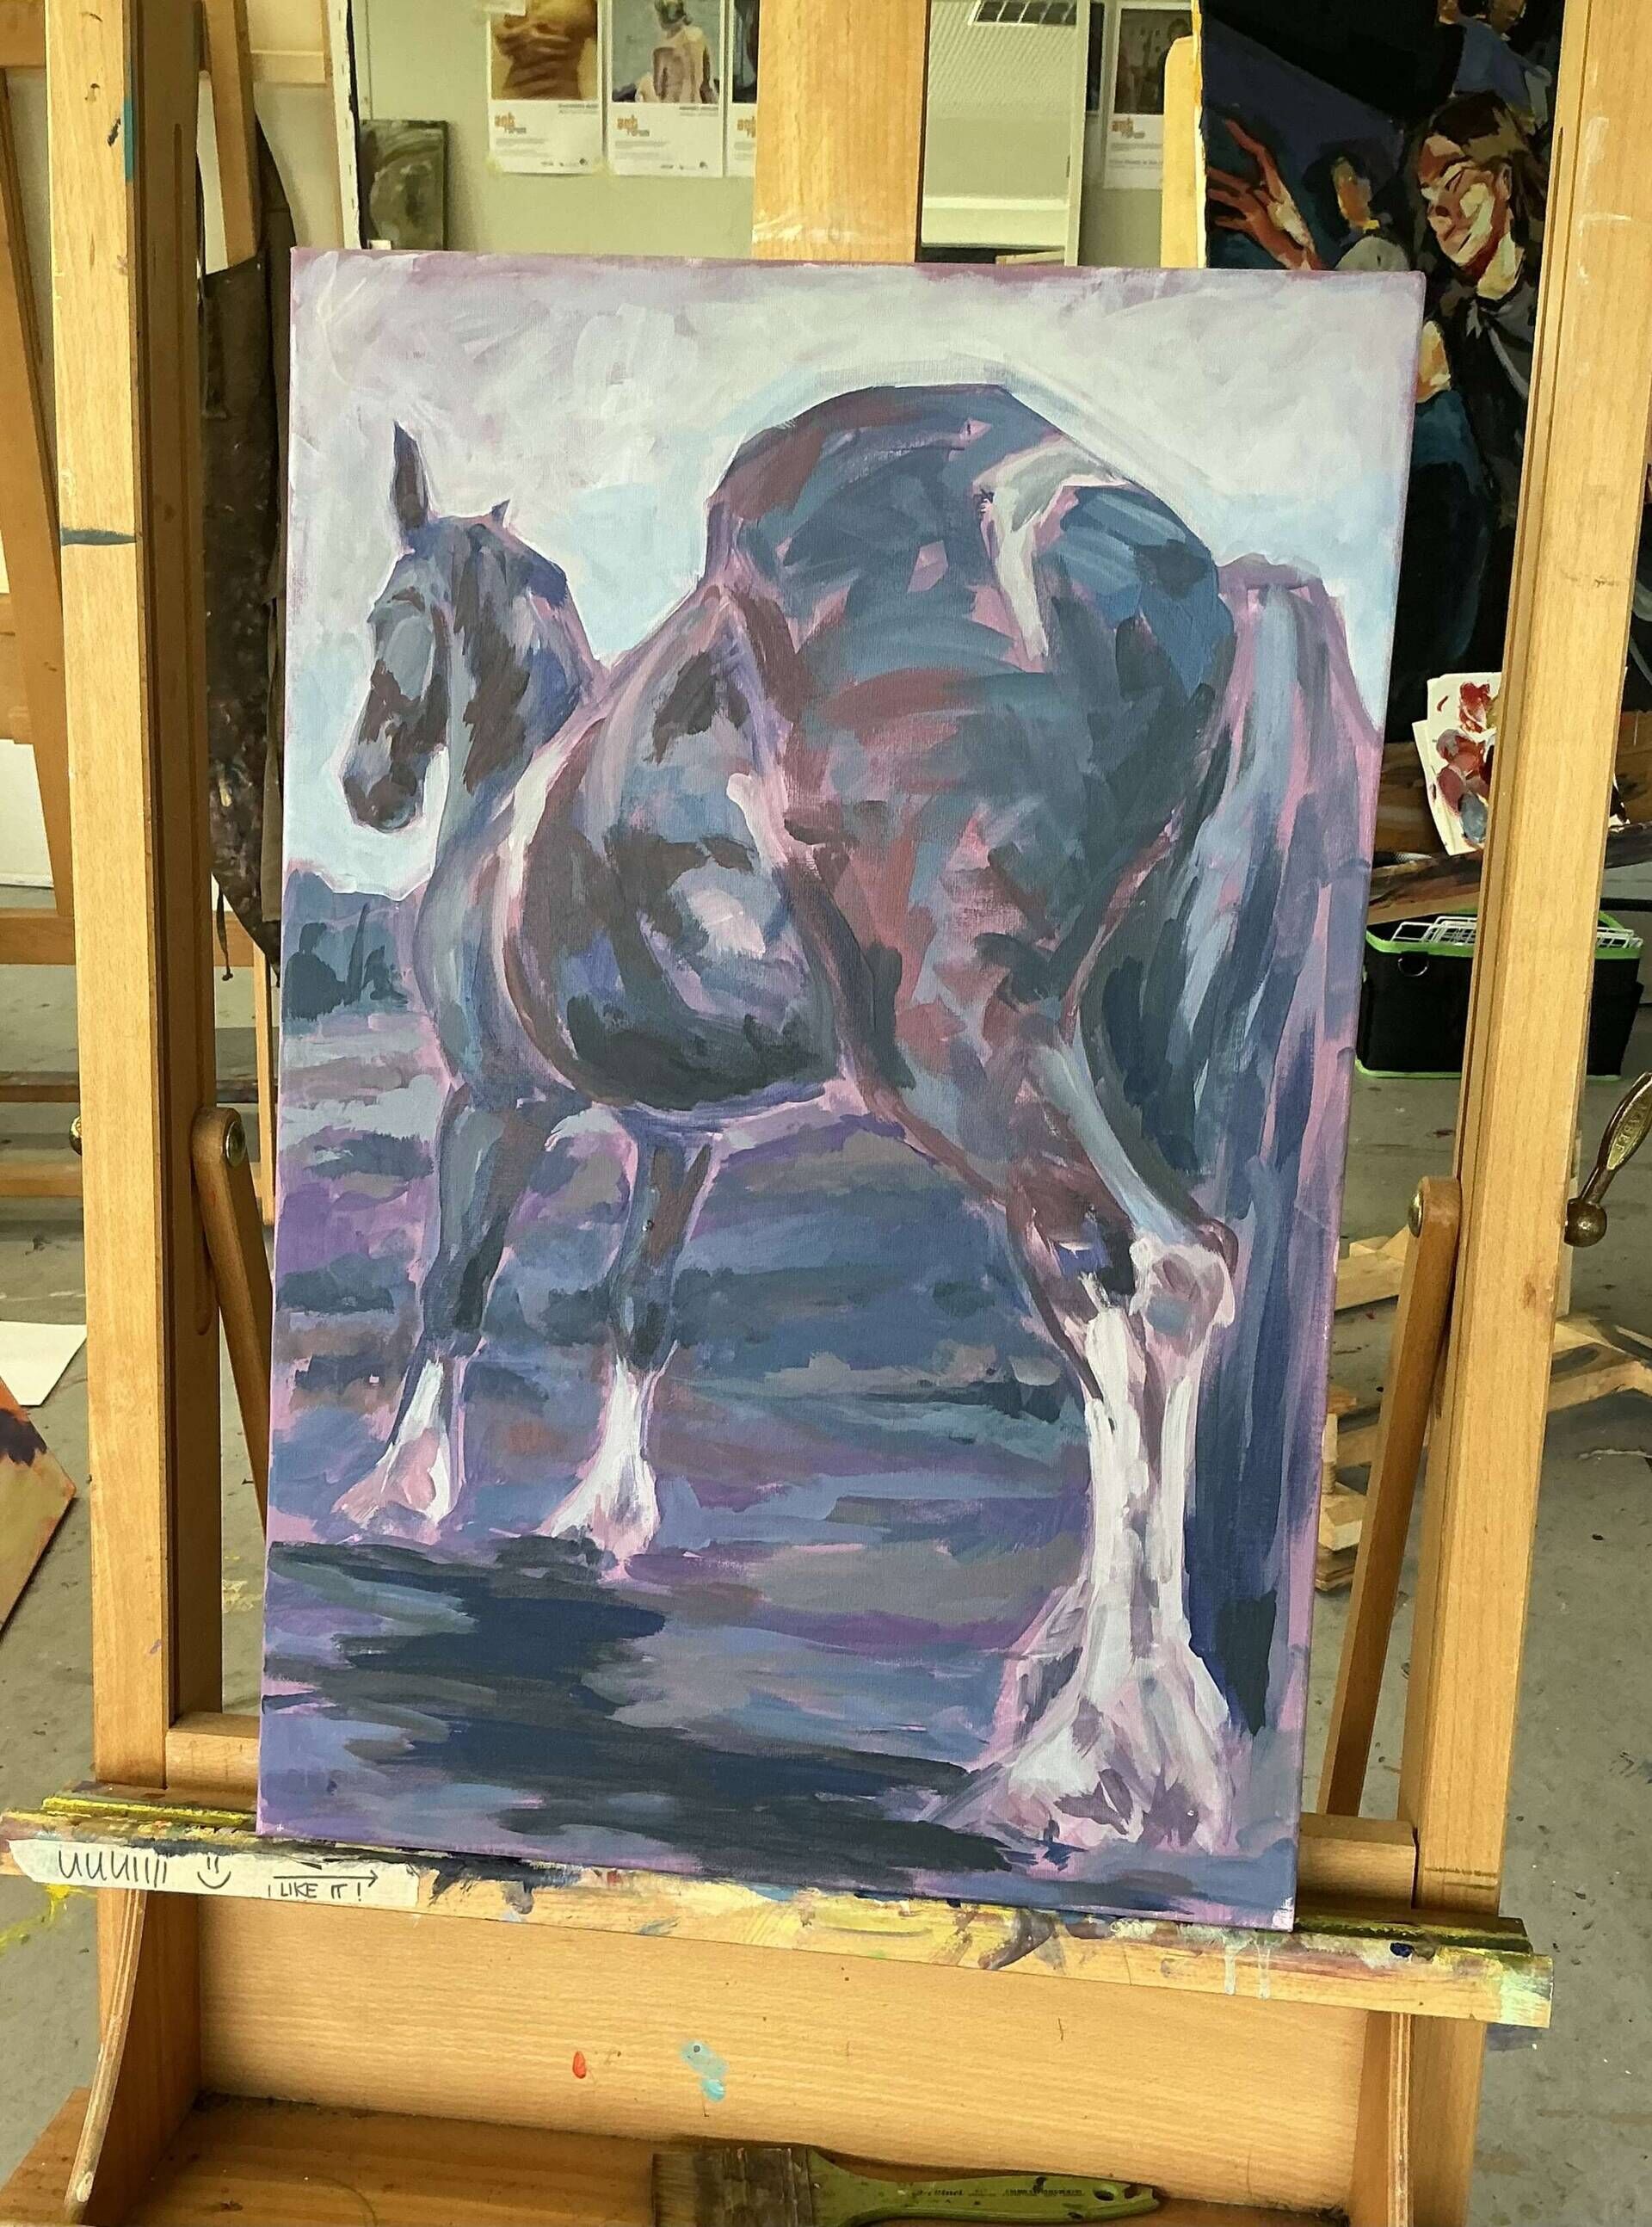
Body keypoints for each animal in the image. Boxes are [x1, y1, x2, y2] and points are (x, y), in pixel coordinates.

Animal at [330, 388, 1372, 1857]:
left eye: (388, 612)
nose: (364, 786)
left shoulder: (496, 1099)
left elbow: (455, 1287)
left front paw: (403, 1492)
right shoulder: (678, 1139)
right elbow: (637, 1307)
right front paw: (602, 1518)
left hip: (969, 1060)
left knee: (1140, 1281)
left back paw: (1095, 1758)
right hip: (1128, 1053)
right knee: (1178, 1291)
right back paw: (1108, 1700)